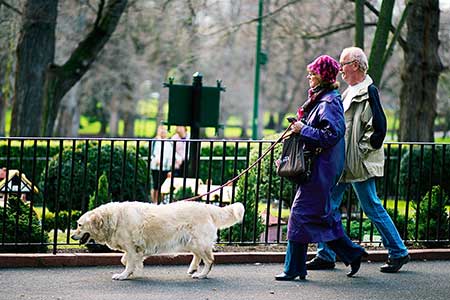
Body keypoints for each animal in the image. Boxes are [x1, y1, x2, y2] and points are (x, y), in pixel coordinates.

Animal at [72, 200, 244, 280]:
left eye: (80, 225)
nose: (73, 236)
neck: (114, 219)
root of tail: (207, 207)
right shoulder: (135, 249)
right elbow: (126, 260)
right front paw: (135, 270)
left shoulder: (132, 248)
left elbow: (128, 262)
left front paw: (123, 275)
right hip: (192, 242)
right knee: (198, 256)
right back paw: (192, 269)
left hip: (198, 242)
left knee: (209, 260)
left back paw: (201, 275)